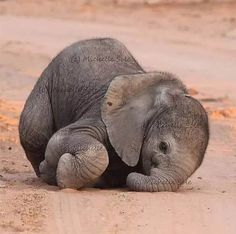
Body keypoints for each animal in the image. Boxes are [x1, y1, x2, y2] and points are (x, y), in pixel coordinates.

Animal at [19, 38, 209, 192]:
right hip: (46, 82)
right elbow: (62, 139)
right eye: (163, 146)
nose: (137, 174)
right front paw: (58, 168)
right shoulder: (104, 116)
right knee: (34, 132)